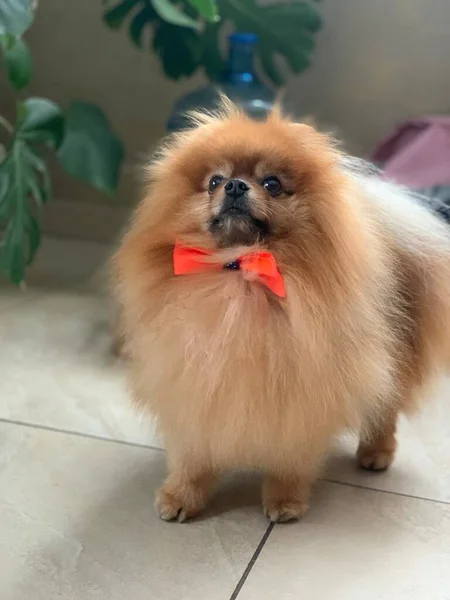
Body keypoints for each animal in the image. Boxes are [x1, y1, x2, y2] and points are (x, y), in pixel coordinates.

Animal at [114, 101, 450, 524]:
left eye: (272, 183)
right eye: (214, 181)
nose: (235, 185)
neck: (238, 270)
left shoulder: (301, 393)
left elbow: (291, 455)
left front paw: (285, 500)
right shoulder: (193, 381)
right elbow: (193, 451)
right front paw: (181, 495)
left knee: (384, 409)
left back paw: (376, 452)